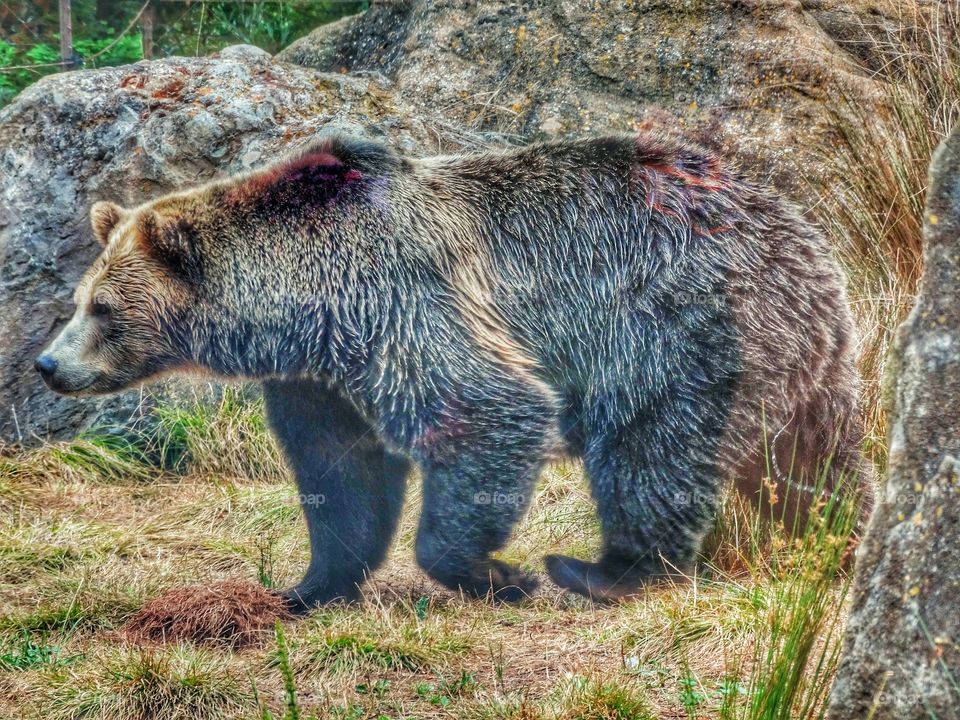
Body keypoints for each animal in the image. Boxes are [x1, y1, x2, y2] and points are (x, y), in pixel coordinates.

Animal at [35, 134, 864, 608]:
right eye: (77, 301)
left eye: (103, 309)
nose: (48, 364)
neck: (305, 307)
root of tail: (797, 230)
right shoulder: (321, 378)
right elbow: (342, 477)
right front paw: (305, 586)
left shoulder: (406, 300)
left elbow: (487, 410)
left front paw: (497, 573)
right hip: (808, 356)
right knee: (816, 460)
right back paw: (836, 533)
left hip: (673, 328)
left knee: (651, 452)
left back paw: (597, 570)